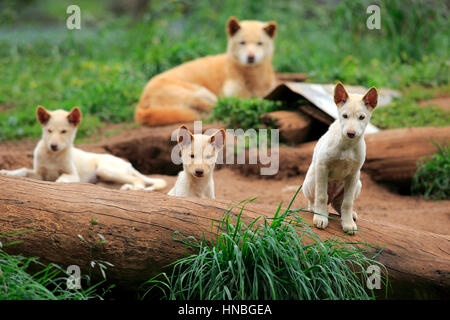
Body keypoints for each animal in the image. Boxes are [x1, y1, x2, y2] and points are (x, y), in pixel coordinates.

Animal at [0, 105, 165, 190]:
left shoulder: (72, 174)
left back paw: (130, 188)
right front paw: (7, 172)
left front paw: (60, 182)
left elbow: (62, 178)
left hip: (104, 169)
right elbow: (23, 170)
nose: (53, 145)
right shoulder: (39, 173)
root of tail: (127, 163)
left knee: (139, 182)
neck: (53, 156)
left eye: (64, 132)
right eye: (49, 131)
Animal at [134, 16, 278, 126]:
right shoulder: (230, 95)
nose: (251, 57)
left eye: (260, 43)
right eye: (242, 43)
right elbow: (240, 101)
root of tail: (140, 105)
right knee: (218, 108)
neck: (253, 78)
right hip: (202, 92)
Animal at [302, 81, 380, 234]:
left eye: (361, 117)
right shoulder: (322, 167)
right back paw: (319, 211)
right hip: (311, 179)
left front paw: (348, 223)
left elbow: (348, 202)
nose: (351, 133)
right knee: (314, 202)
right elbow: (321, 196)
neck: (347, 146)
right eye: (345, 116)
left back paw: (348, 215)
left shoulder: (354, 174)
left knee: (338, 203)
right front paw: (320, 218)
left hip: (358, 184)